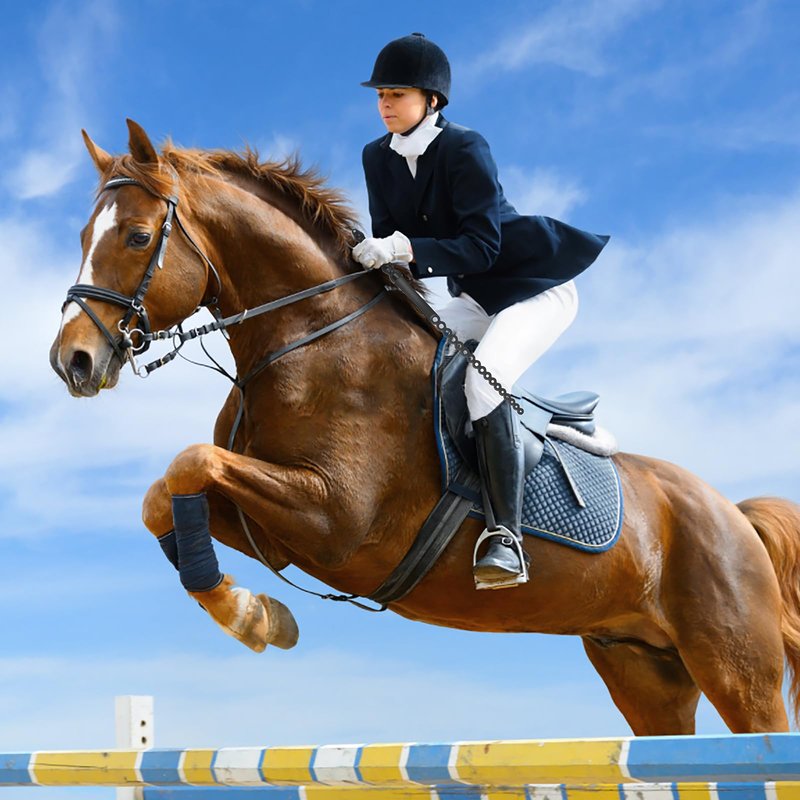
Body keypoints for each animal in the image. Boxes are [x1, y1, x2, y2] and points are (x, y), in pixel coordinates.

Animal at [50, 119, 800, 736]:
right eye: (84, 238)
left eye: (137, 237)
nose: (71, 362)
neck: (310, 339)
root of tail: (733, 515)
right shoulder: (278, 531)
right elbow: (166, 494)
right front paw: (257, 614)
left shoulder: (334, 518)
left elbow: (189, 463)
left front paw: (248, 616)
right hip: (643, 669)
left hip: (735, 665)